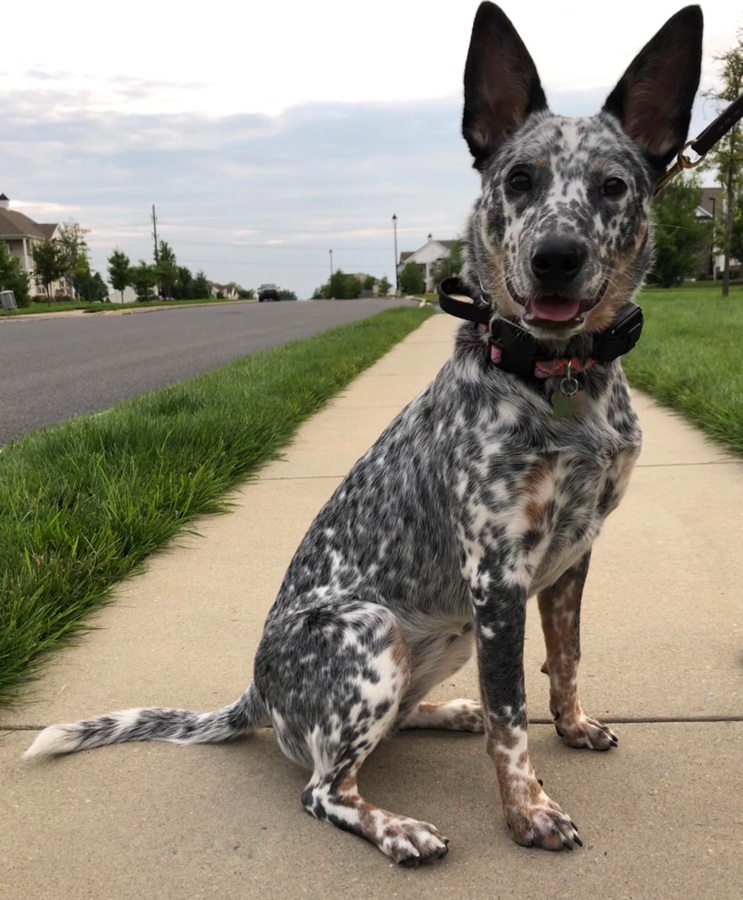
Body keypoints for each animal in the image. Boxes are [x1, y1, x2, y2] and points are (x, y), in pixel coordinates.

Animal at [26, 3, 704, 868]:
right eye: (517, 180)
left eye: (612, 186)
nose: (557, 258)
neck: (558, 379)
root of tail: (257, 691)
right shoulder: (496, 576)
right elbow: (512, 716)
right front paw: (528, 813)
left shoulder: (573, 557)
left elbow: (564, 661)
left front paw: (574, 726)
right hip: (372, 631)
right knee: (323, 787)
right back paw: (398, 826)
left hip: (441, 640)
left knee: (387, 732)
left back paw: (447, 713)